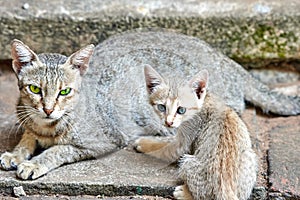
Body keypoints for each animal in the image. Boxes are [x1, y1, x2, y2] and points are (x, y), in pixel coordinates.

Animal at [135, 66, 256, 200]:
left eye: (181, 110)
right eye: (162, 107)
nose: (168, 122)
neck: (204, 101)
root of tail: (225, 189)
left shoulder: (184, 141)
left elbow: (166, 148)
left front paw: (145, 143)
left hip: (187, 162)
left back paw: (183, 193)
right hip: (250, 156)